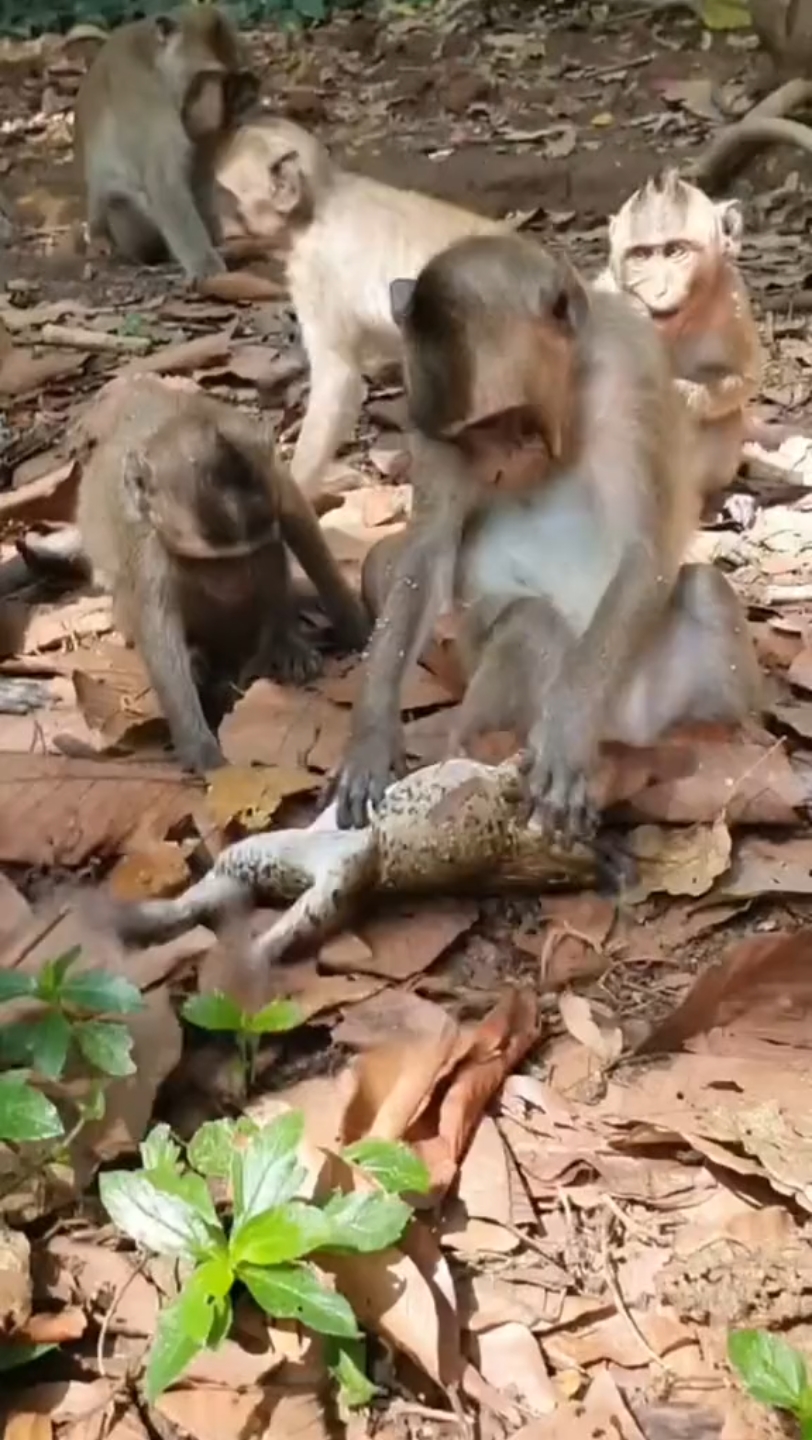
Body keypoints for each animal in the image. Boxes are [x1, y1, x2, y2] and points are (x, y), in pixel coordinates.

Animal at [75, 6, 256, 280]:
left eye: (228, 80)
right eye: (207, 77)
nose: (216, 111)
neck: (155, 64)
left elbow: (200, 175)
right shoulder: (145, 100)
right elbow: (165, 183)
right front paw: (206, 264)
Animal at [76, 377, 368, 771]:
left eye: (233, 561)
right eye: (209, 563)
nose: (230, 584)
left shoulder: (269, 473)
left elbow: (298, 528)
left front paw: (354, 625)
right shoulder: (147, 545)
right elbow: (157, 629)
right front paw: (197, 744)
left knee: (272, 557)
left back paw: (280, 642)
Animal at [331, 236, 760, 840]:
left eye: (510, 423)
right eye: (469, 436)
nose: (500, 466)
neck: (576, 389)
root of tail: (621, 727)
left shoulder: (631, 371)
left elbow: (644, 550)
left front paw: (566, 732)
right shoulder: (426, 413)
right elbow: (427, 553)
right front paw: (371, 734)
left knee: (705, 591)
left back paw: (717, 740)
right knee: (530, 622)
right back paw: (472, 752)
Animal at [593, 169, 765, 501]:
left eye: (675, 251)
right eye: (641, 255)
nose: (660, 290)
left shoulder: (733, 298)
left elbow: (743, 378)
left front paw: (675, 395)